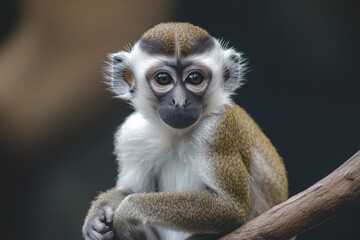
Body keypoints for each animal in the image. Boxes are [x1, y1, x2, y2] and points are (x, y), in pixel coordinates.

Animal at [82, 22, 290, 240]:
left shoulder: (216, 129)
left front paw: (128, 211)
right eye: (163, 79)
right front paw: (97, 216)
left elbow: (232, 207)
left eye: (195, 78)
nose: (180, 101)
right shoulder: (133, 134)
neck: (175, 135)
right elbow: (129, 189)